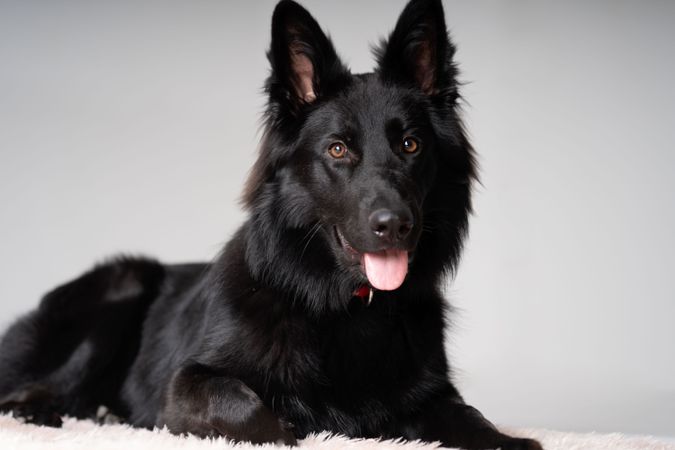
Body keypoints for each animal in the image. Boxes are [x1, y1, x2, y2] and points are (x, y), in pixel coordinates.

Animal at [0, 1, 540, 448]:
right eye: (337, 150)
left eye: (410, 145)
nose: (394, 225)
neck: (346, 307)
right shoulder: (185, 385)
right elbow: (241, 404)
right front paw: (287, 429)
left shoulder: (432, 395)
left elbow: (471, 417)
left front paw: (510, 442)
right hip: (121, 287)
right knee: (25, 393)